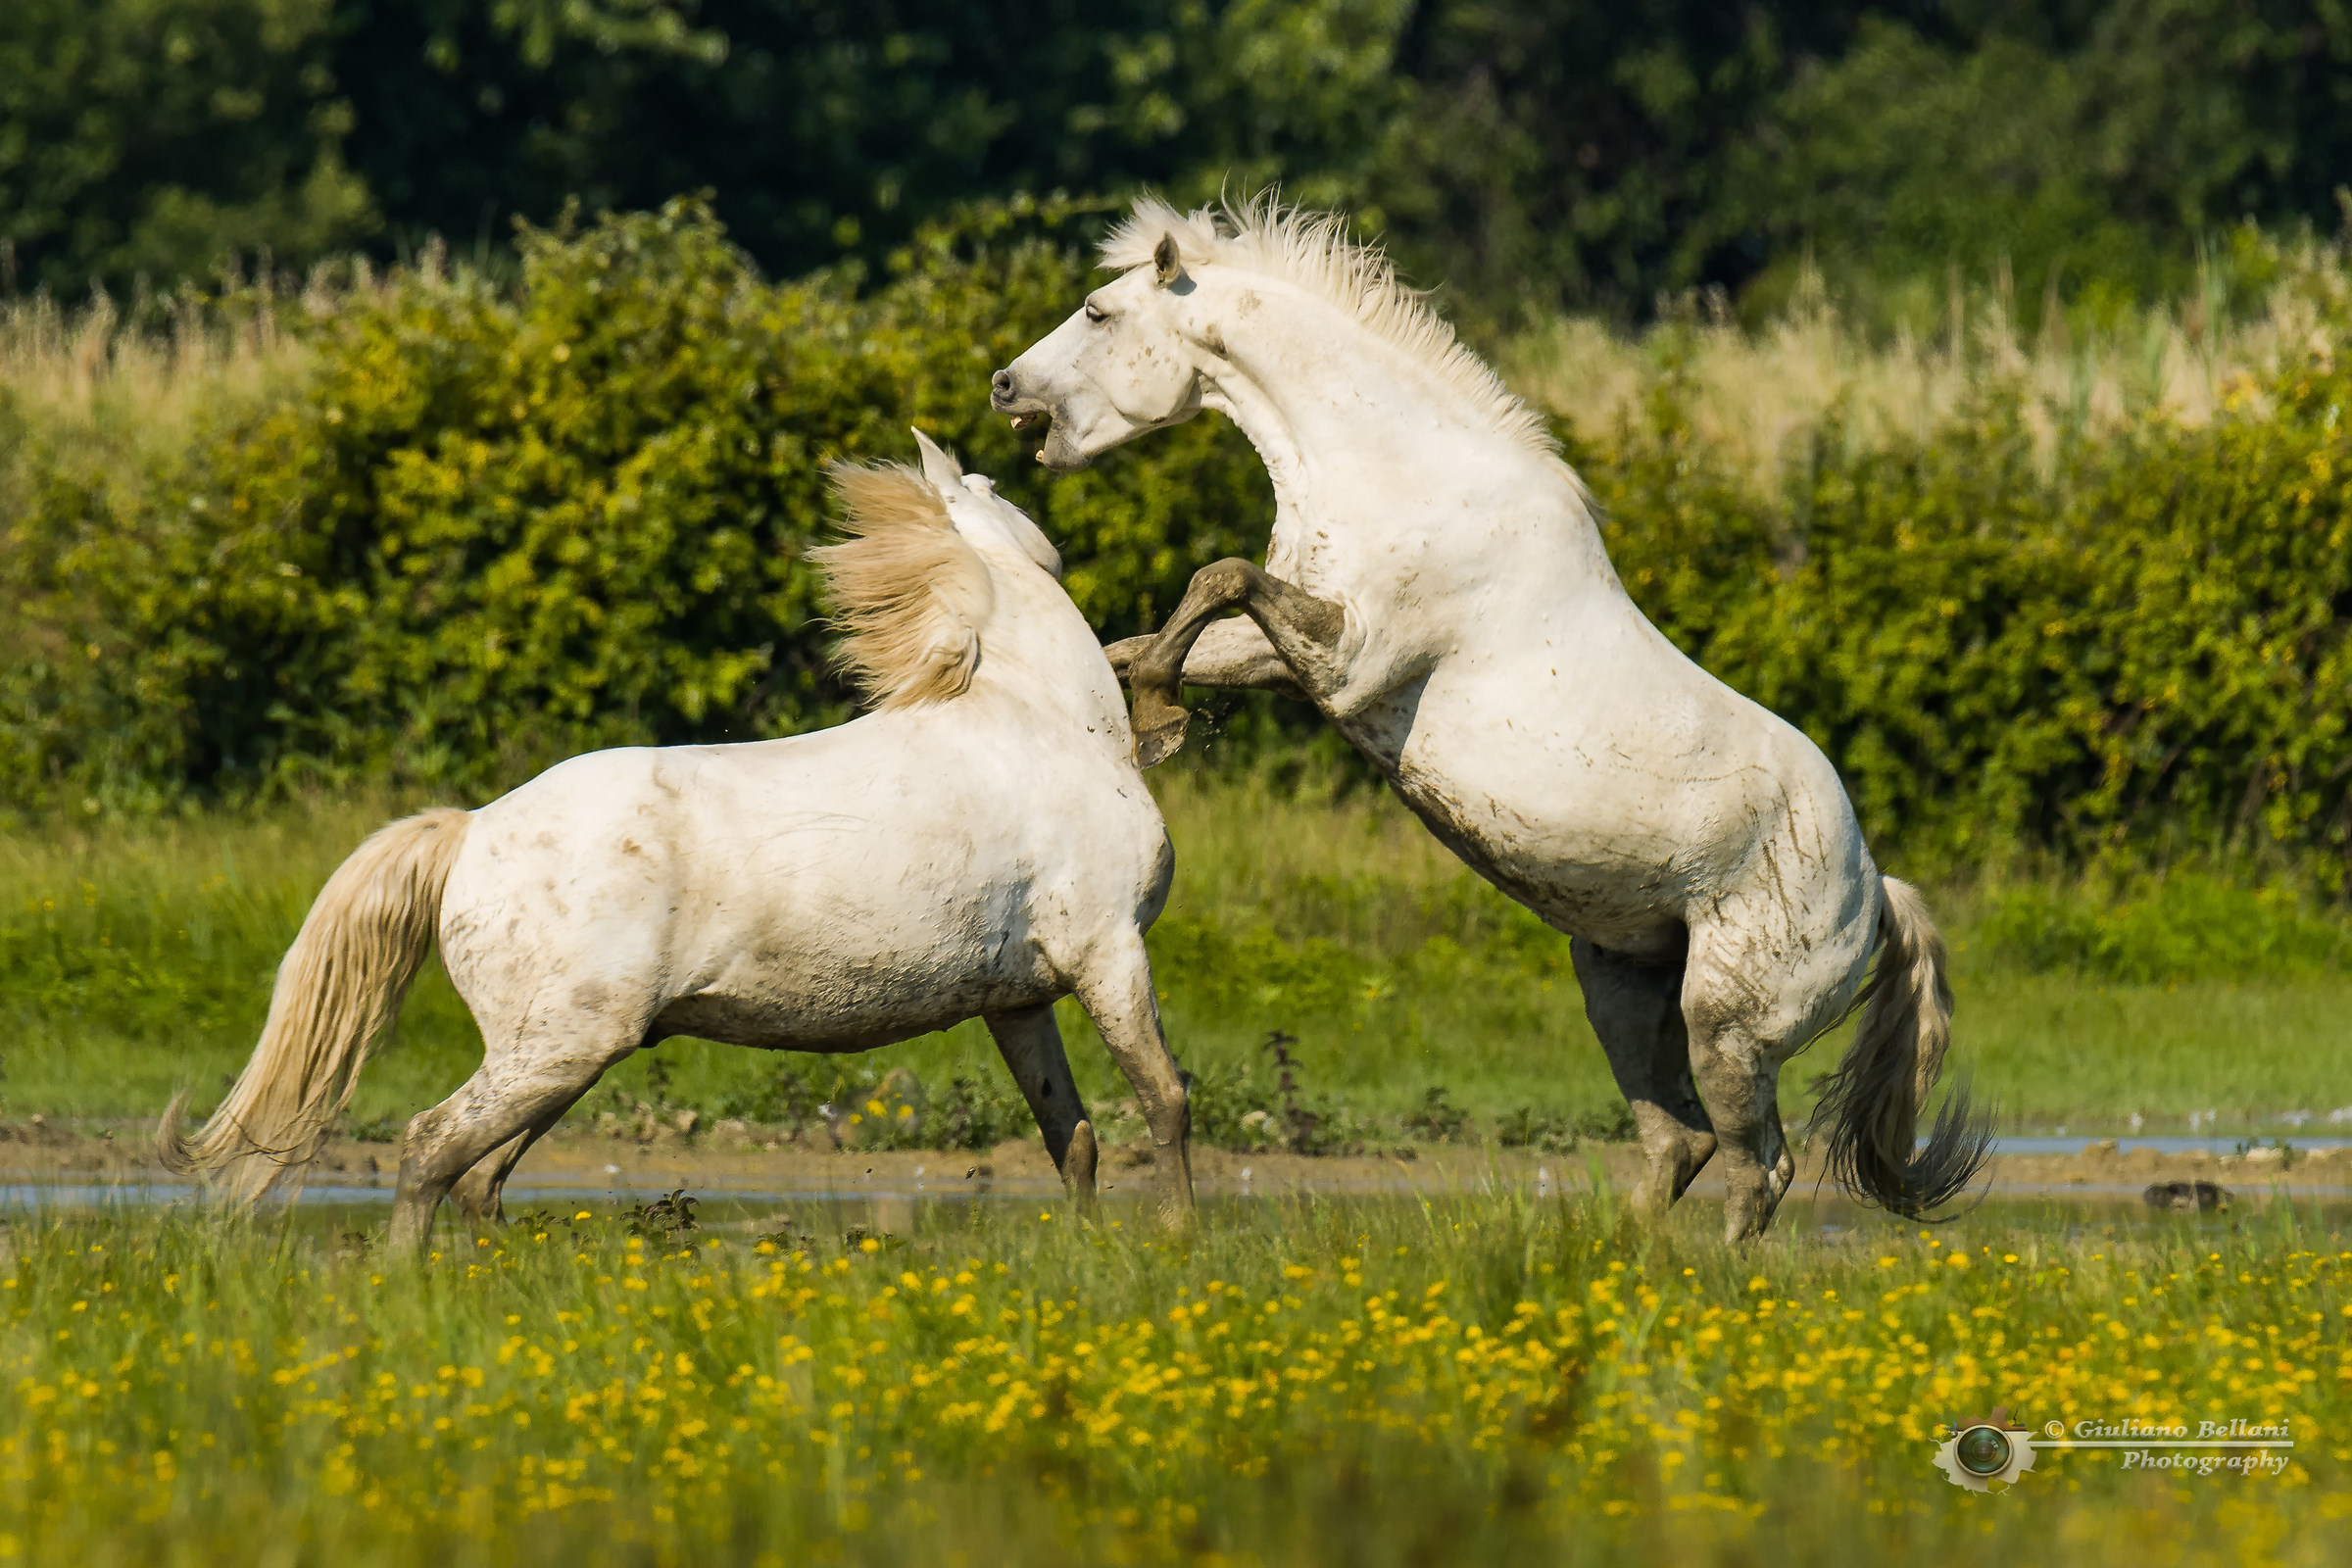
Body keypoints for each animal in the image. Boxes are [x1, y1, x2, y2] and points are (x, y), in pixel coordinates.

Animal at [160, 433, 1197, 1251]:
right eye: (990, 483)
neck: (1048, 720)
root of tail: (472, 833)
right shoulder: (1108, 951)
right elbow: (1164, 1102)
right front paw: (1177, 1246)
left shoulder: (1019, 1000)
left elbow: (1072, 1139)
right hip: (558, 1050)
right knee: (429, 1151)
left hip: (558, 1057)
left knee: (477, 1179)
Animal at [989, 197, 1989, 1243]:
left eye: (1098, 313)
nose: (1002, 383)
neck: (1408, 475)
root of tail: (1876, 893)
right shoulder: (1292, 658)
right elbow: (1149, 636)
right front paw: (1136, 707)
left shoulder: (1347, 663)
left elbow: (1215, 578)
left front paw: (1160, 720)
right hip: (1620, 990)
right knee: (1680, 1144)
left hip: (1728, 1028)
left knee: (1760, 1168)